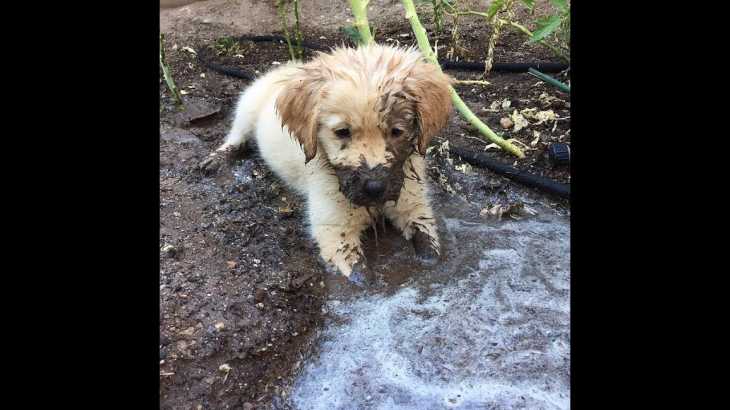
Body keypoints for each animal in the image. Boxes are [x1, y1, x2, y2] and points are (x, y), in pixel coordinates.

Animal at [199, 44, 450, 280]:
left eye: (396, 131)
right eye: (342, 132)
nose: (375, 188)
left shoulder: (415, 205)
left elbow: (430, 247)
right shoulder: (334, 231)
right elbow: (361, 278)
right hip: (247, 107)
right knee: (236, 135)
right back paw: (216, 159)